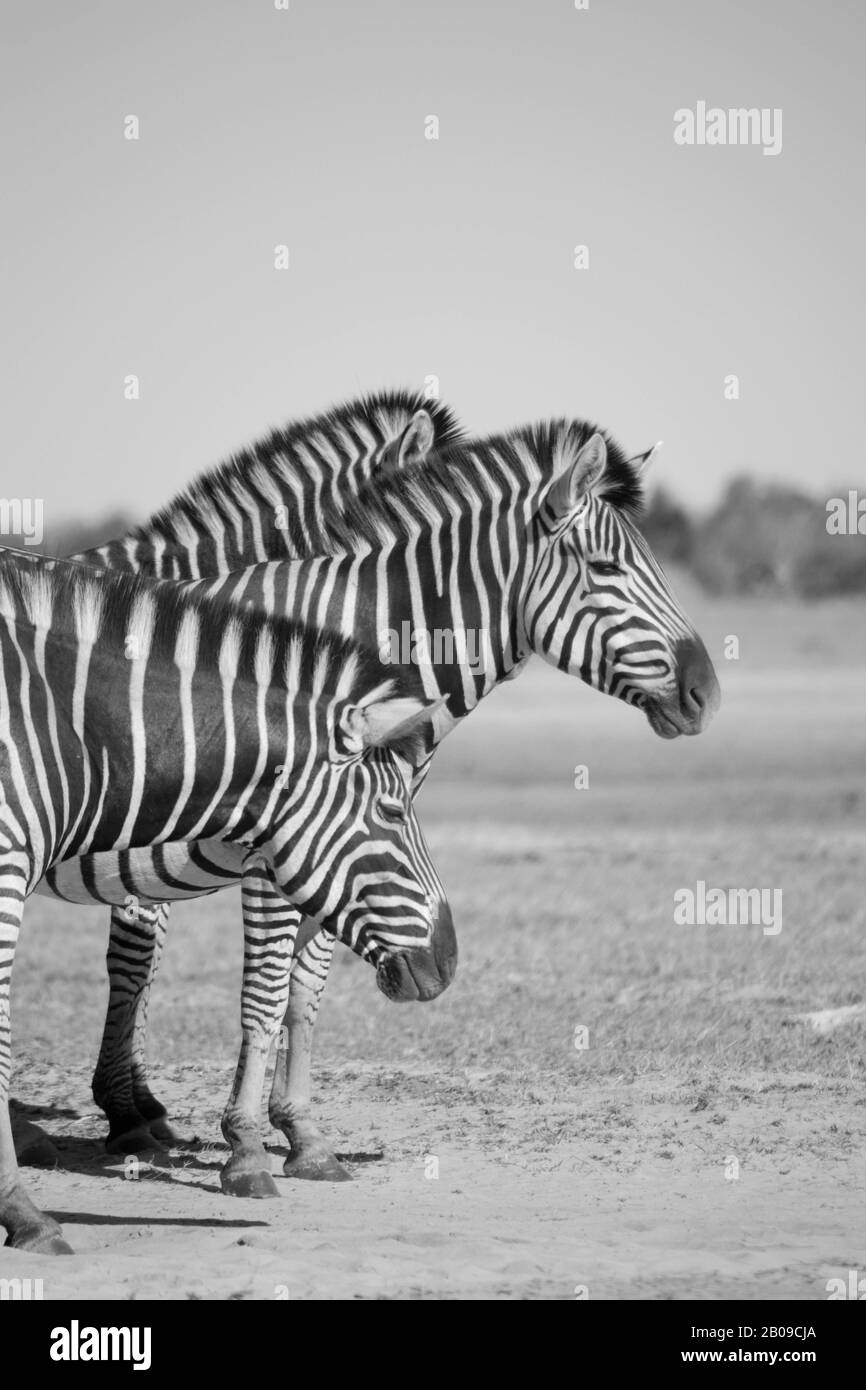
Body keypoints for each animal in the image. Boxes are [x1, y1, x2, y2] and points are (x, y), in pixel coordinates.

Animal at [59, 405, 717, 1184]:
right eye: (608, 569)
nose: (707, 692)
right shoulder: (278, 853)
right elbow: (263, 987)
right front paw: (245, 1146)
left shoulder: (343, 855)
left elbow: (305, 988)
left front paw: (303, 1134)